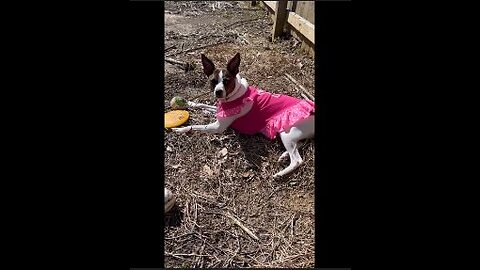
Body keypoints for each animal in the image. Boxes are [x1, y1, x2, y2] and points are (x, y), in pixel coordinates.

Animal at [172, 53, 316, 179]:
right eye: (213, 81)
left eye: (226, 81)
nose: (218, 92)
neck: (234, 96)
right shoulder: (220, 113)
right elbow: (203, 105)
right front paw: (190, 103)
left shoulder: (218, 126)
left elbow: (196, 126)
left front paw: (180, 129)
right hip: (291, 135)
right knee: (300, 144)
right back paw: (285, 155)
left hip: (287, 132)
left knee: (297, 160)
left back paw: (280, 173)